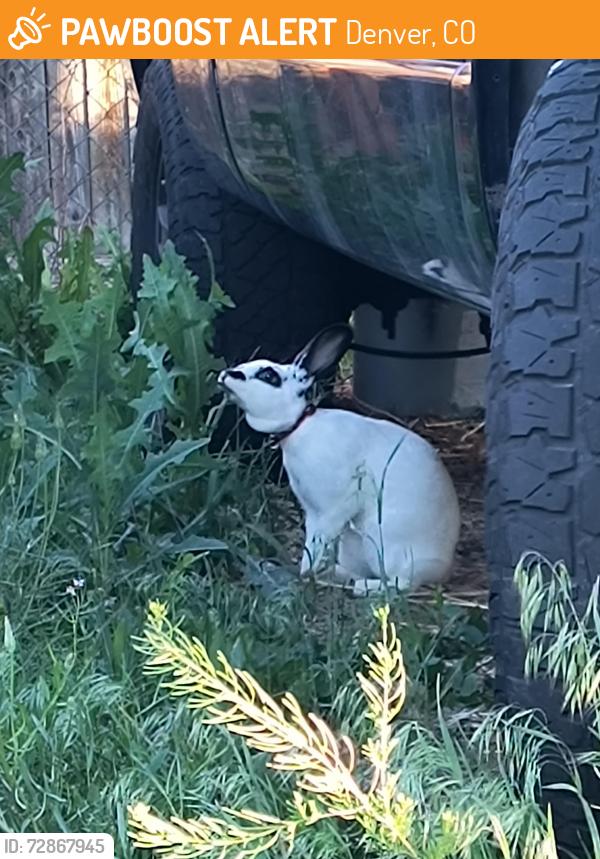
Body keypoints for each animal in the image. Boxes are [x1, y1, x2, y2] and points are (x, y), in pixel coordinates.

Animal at [218, 324, 461, 595]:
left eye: (269, 376)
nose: (227, 374)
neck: (301, 426)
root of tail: (441, 566)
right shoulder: (313, 514)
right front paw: (308, 572)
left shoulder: (332, 509)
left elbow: (318, 543)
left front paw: (306, 575)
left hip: (385, 544)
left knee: (401, 583)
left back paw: (362, 587)